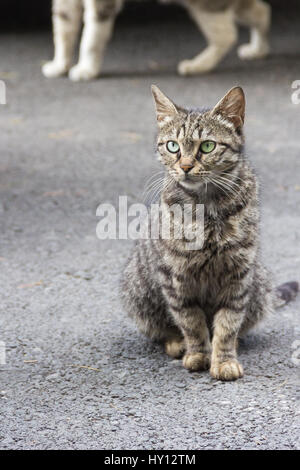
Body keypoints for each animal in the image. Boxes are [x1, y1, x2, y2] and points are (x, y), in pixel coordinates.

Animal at [42, 0, 272, 80]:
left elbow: (92, 37)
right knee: (261, 12)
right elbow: (63, 27)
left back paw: (198, 65)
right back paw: (258, 49)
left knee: (226, 34)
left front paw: (87, 69)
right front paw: (59, 65)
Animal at [120, 85, 298, 382]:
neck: (208, 209)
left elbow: (227, 325)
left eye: (207, 146)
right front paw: (197, 355)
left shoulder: (238, 276)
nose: (185, 166)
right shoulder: (176, 279)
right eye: (173, 146)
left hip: (258, 284)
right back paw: (176, 343)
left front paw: (223, 360)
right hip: (139, 289)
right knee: (160, 329)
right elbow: (191, 323)